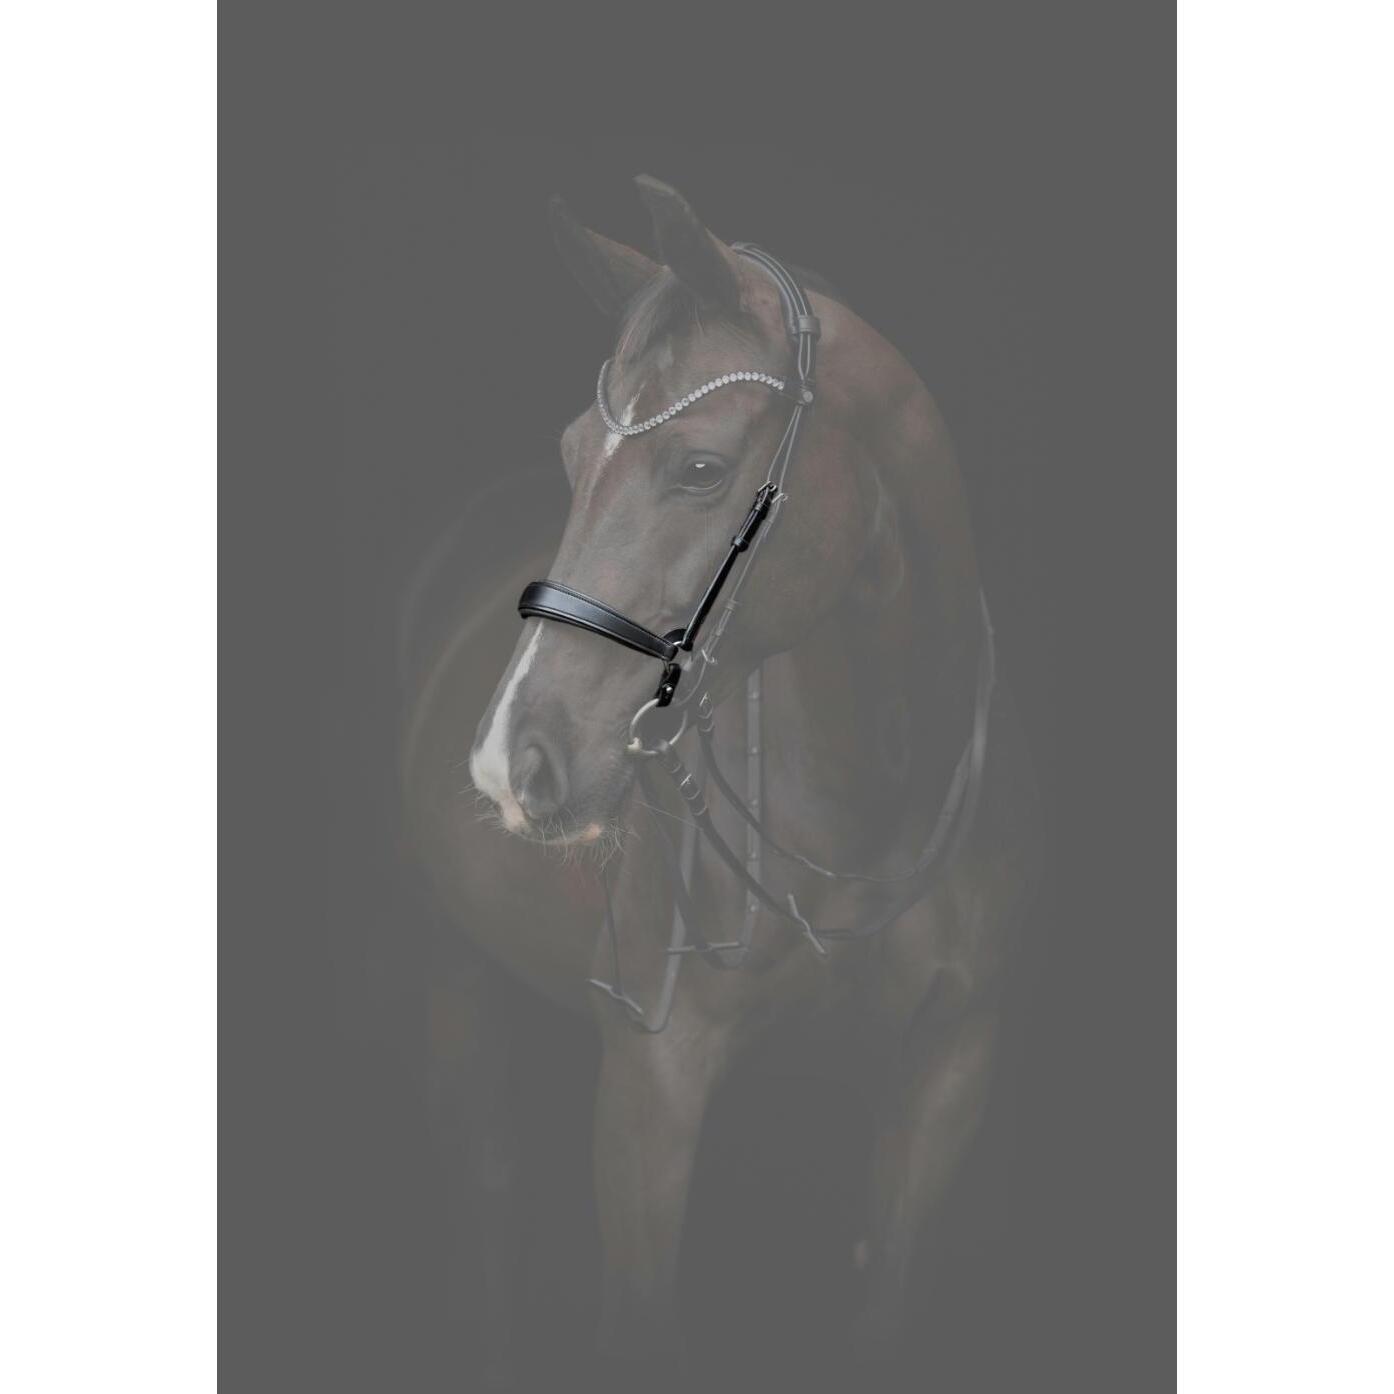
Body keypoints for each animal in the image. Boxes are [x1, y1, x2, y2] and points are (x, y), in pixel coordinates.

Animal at [399, 174, 1041, 1387]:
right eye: (572, 455)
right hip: (450, 979)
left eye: (698, 468)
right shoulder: (652, 1092)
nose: (511, 760)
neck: (862, 801)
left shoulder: (949, 1068)